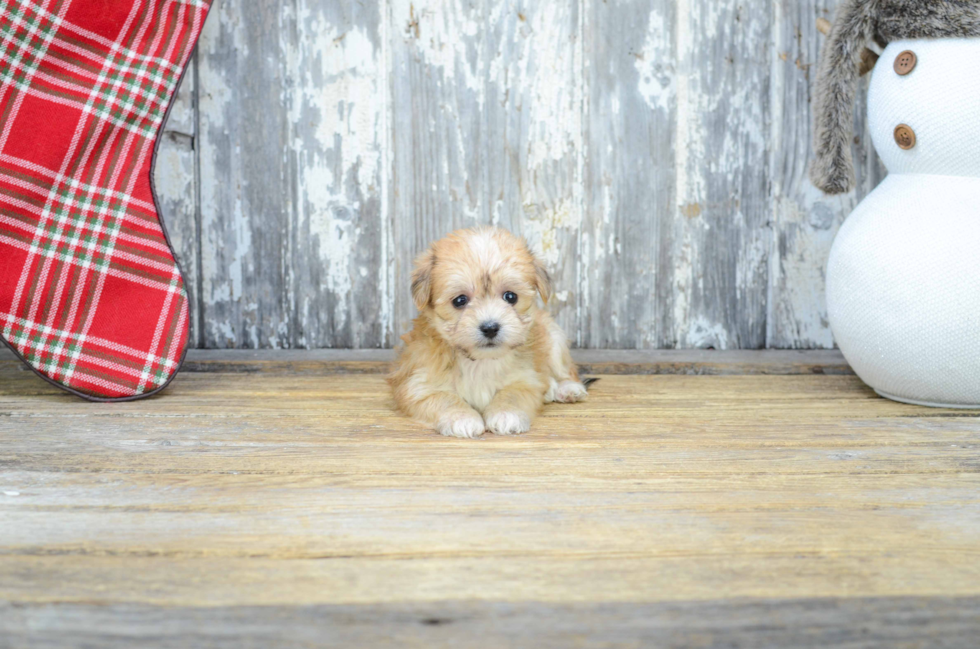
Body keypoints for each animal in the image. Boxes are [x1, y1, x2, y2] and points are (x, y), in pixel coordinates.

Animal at [388, 225, 588, 438]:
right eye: (460, 300)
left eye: (510, 297)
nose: (490, 328)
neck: (479, 362)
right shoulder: (417, 386)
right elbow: (444, 398)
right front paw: (462, 417)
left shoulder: (525, 379)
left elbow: (512, 394)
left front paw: (506, 414)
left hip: (554, 338)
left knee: (566, 370)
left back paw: (568, 389)